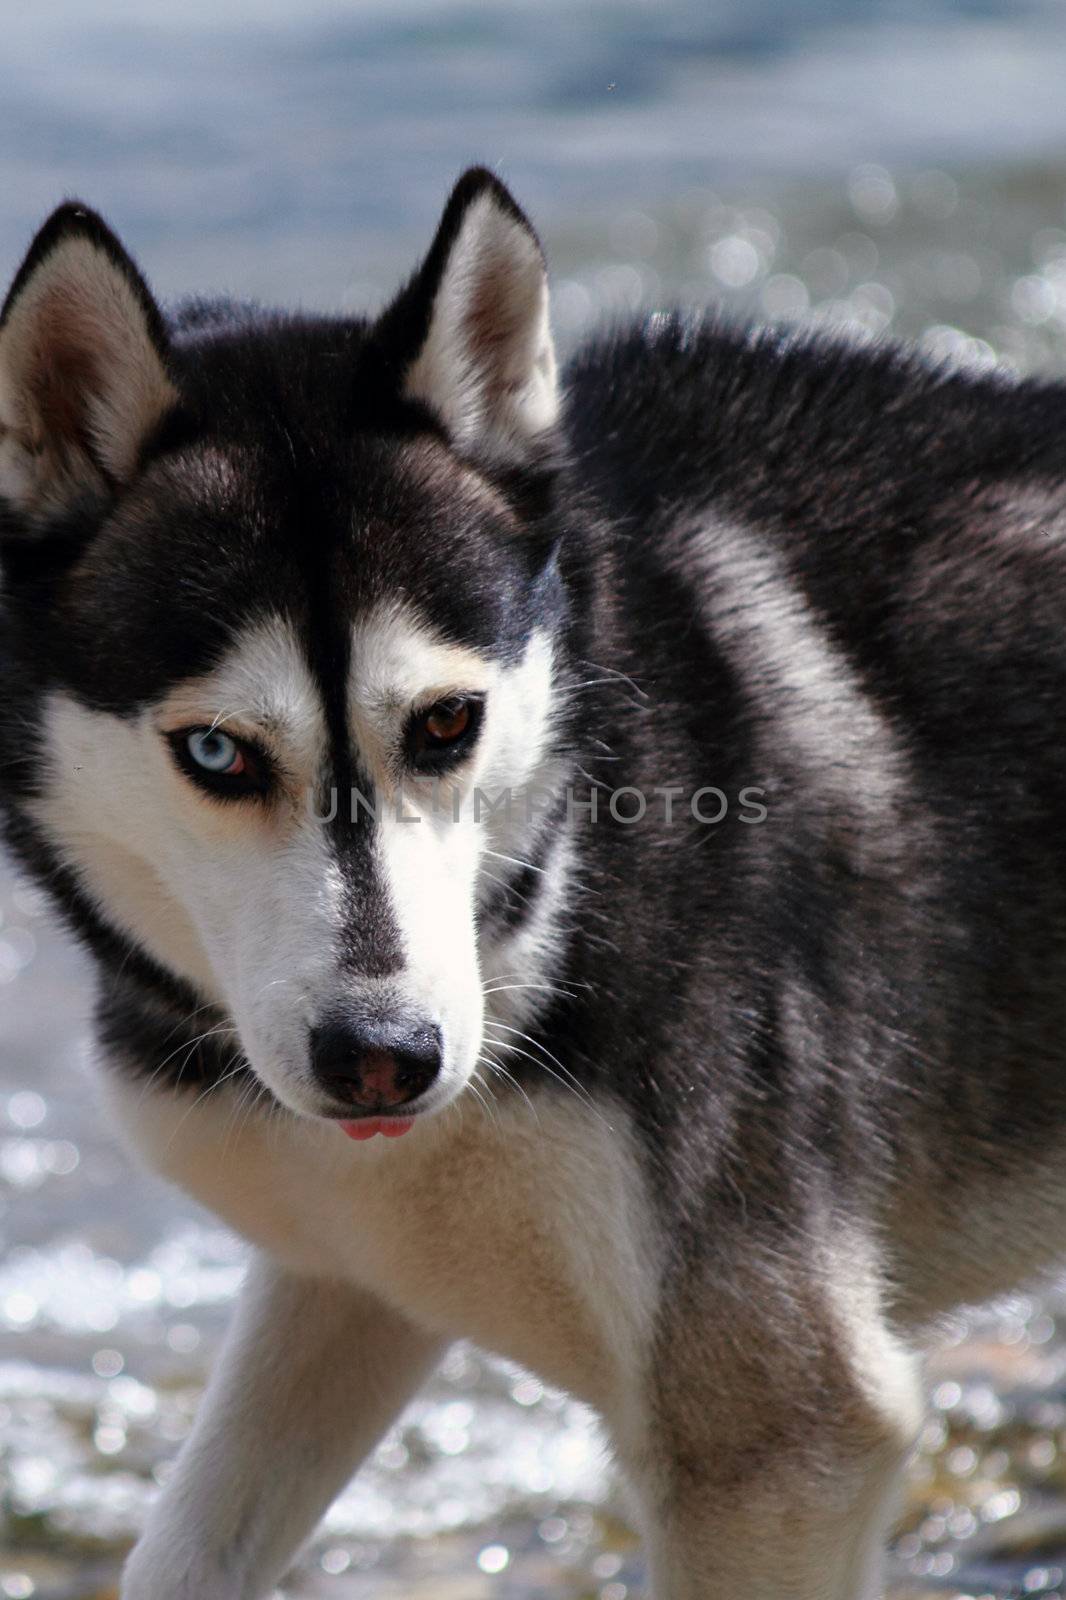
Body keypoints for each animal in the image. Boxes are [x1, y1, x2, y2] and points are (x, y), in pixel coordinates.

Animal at [2, 168, 1062, 1593]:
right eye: (217, 751)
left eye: (447, 723)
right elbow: (180, 1550)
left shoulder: (783, 1432)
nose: (384, 1059)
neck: (553, 886)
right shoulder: (349, 1280)